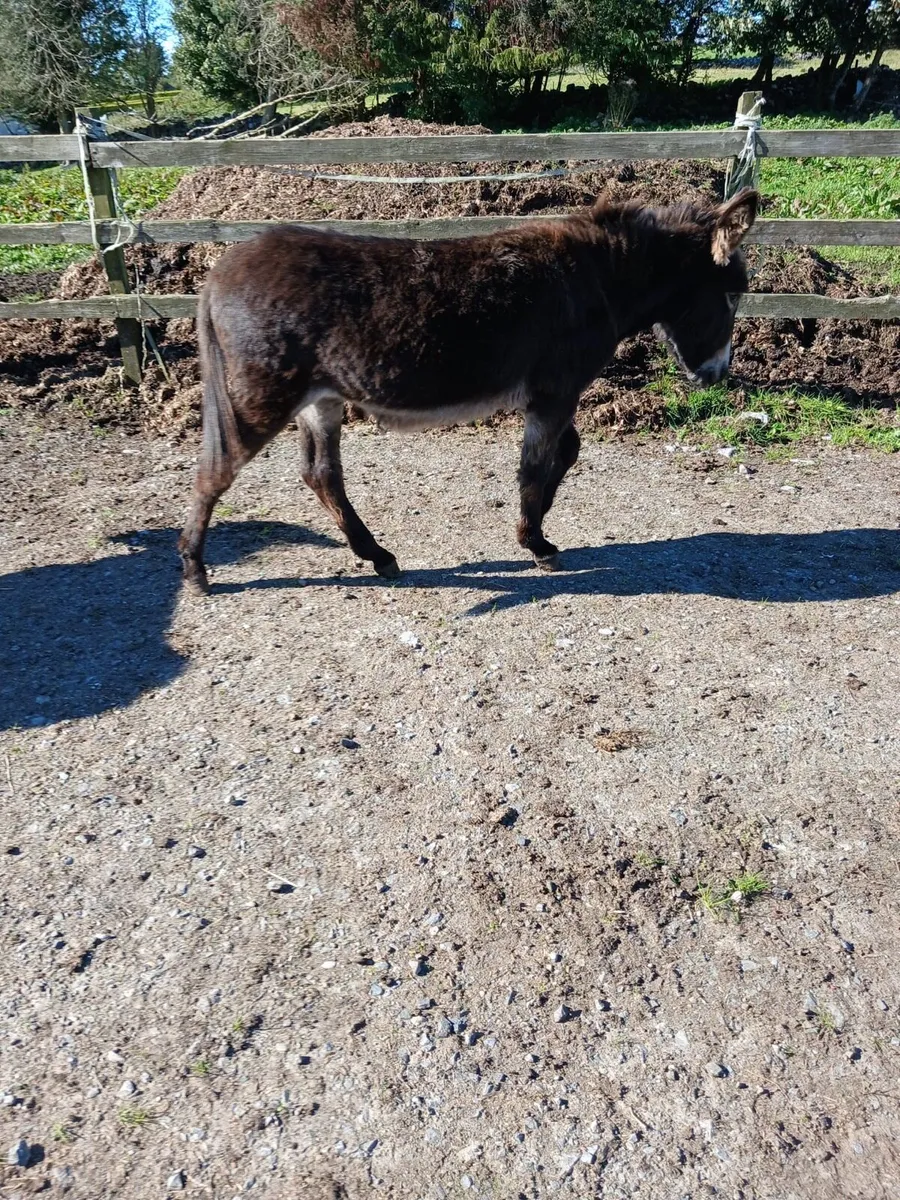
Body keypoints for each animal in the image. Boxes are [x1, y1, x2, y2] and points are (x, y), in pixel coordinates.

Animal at [178, 188, 758, 592]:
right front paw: (536, 541)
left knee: (321, 475)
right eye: (732, 296)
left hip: (321, 399)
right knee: (215, 473)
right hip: (262, 396)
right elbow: (534, 467)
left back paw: (378, 557)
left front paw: (539, 522)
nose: (717, 376)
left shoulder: (553, 394)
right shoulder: (555, 391)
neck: (600, 280)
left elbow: (565, 453)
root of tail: (218, 274)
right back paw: (195, 570)